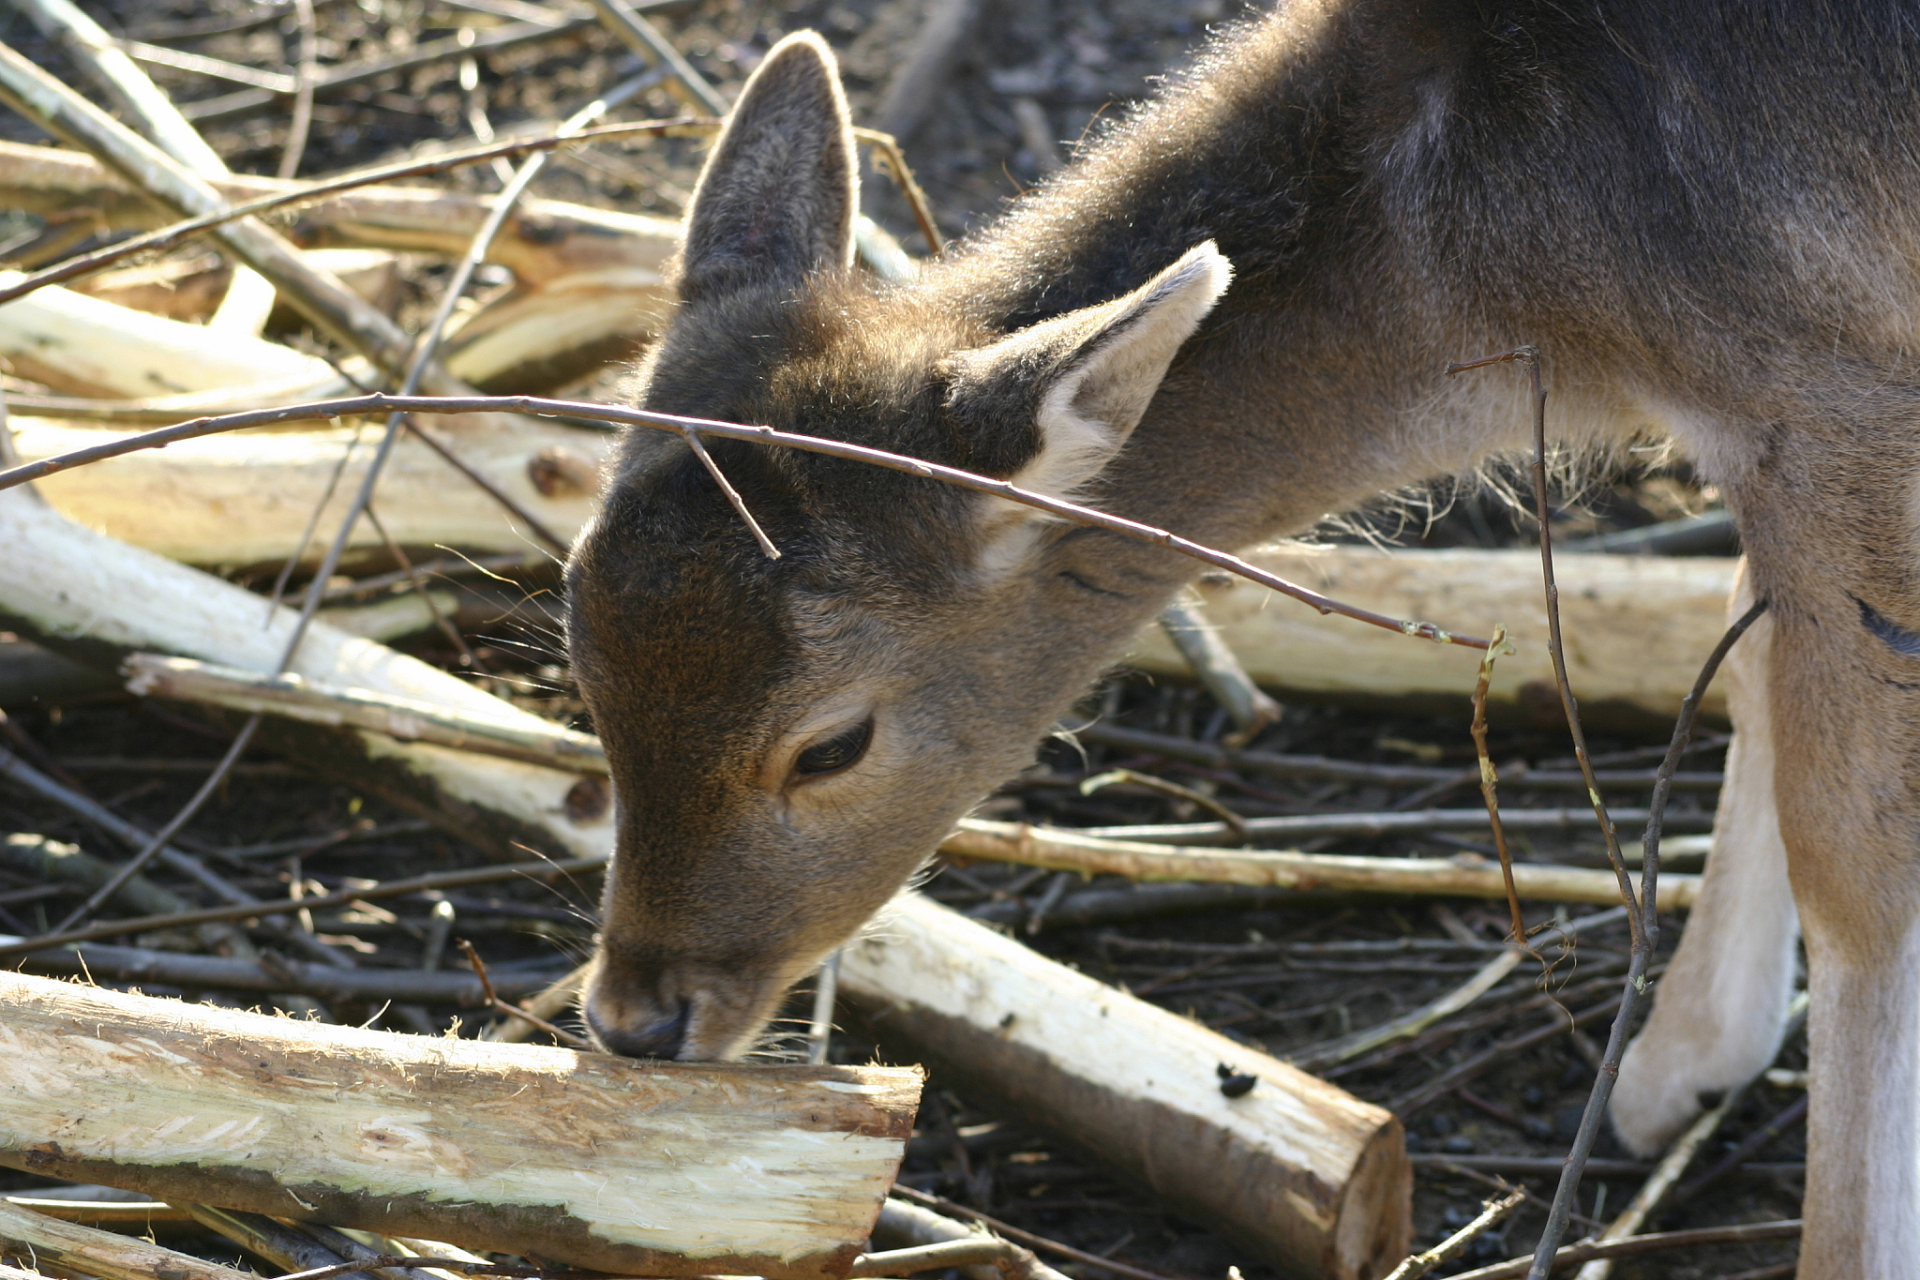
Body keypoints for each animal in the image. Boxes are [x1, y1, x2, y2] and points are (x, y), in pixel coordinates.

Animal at [560, 5, 1920, 1274]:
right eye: (578, 647)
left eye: (832, 743)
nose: (634, 1016)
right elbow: (1752, 654)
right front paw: (1682, 1062)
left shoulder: (1835, 389)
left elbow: (1856, 856)